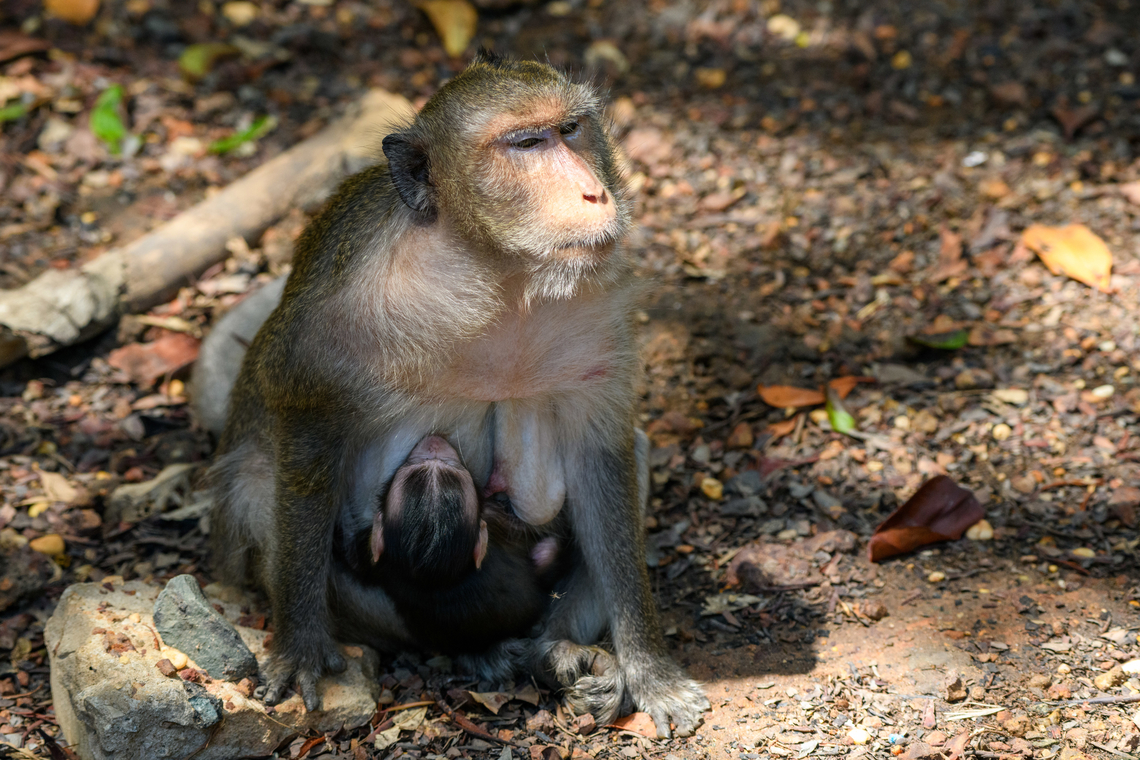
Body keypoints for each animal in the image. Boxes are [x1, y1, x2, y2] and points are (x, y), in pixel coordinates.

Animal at [207, 51, 709, 737]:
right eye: (526, 144)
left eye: (571, 129)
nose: (593, 192)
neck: (495, 271)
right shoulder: (340, 313)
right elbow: (307, 437)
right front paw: (302, 647)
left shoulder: (595, 309)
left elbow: (602, 457)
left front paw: (650, 669)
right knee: (262, 483)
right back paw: (481, 650)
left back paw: (552, 650)